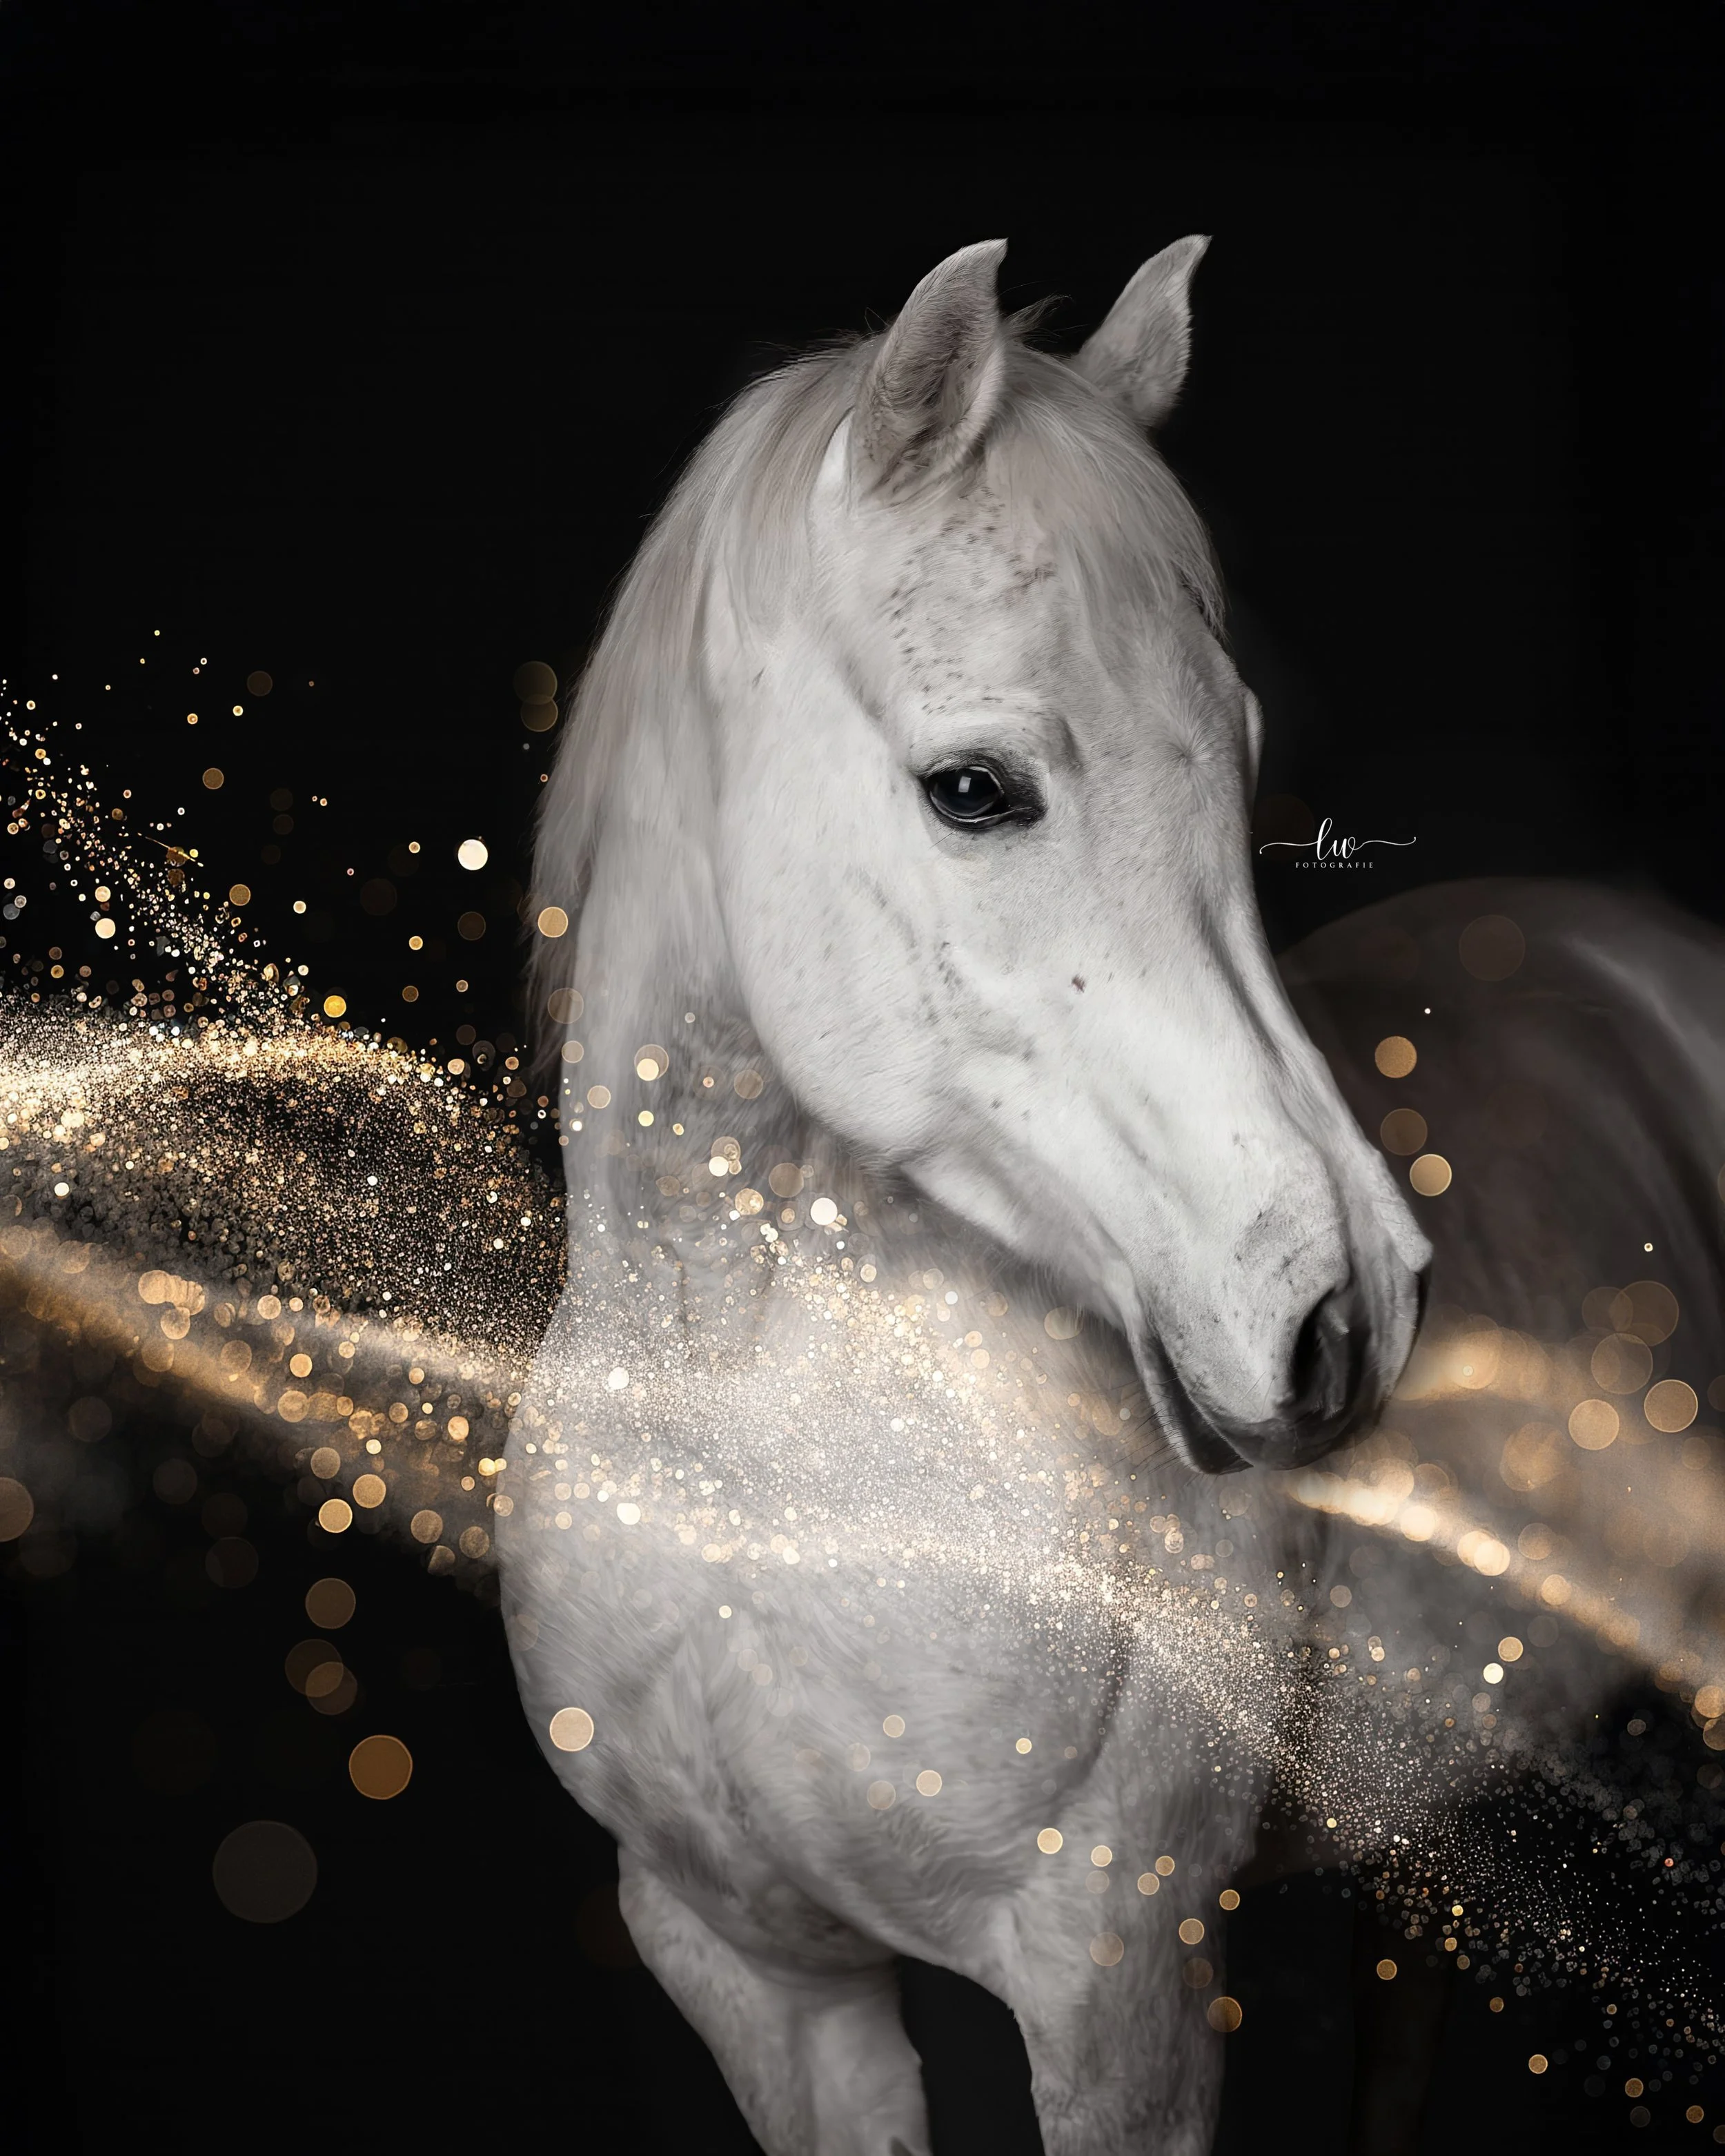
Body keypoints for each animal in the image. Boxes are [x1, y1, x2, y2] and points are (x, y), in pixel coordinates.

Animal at [497, 239, 1725, 2155]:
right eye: (974, 788)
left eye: (1235, 755)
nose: (1349, 1304)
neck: (759, 1450)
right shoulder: (753, 1968)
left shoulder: (1119, 1976)